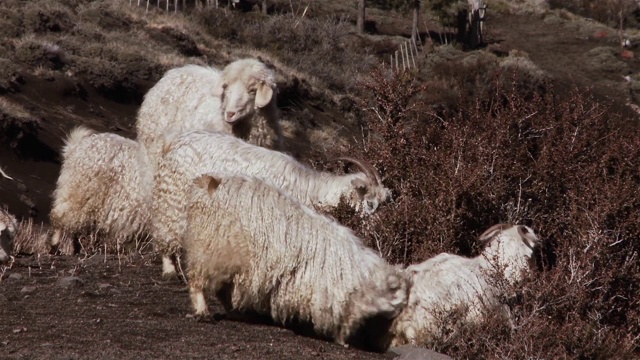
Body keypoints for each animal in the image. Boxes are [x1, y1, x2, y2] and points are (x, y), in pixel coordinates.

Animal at [153, 129, 392, 276]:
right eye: (370, 204)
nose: (379, 235)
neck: (311, 191)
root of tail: (175, 142)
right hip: (172, 198)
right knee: (165, 228)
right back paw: (170, 270)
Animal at [182, 174, 408, 352]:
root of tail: (208, 182)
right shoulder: (333, 296)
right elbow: (339, 319)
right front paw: (342, 340)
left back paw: (239, 313)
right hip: (212, 246)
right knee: (197, 280)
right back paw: (203, 312)